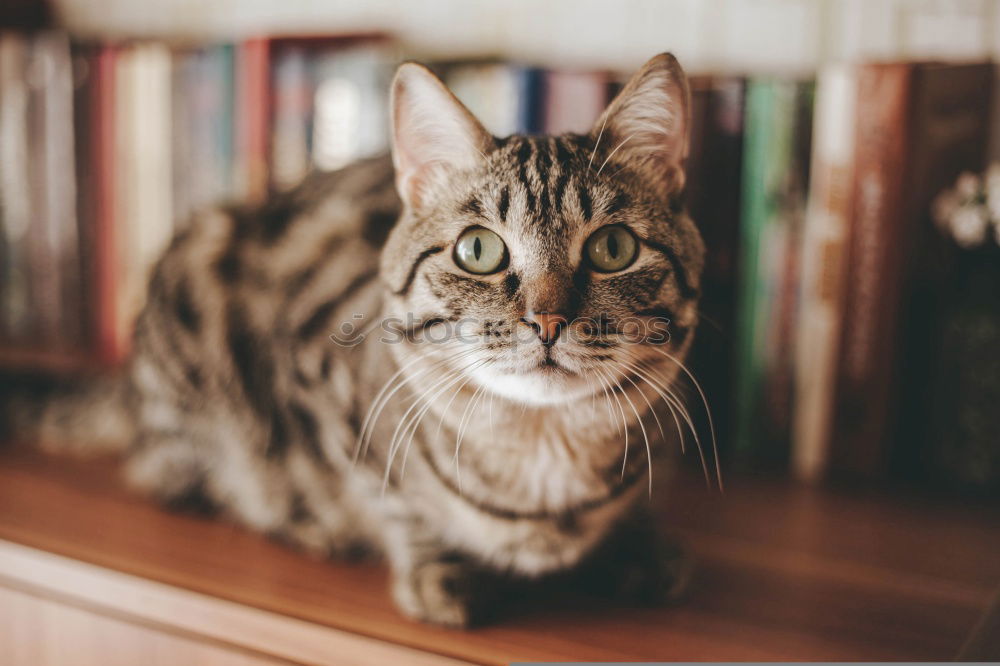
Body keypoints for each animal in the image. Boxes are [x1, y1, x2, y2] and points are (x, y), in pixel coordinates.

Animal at [27, 52, 708, 624]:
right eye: (479, 250)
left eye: (613, 248)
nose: (547, 321)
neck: (542, 460)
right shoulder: (318, 393)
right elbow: (390, 500)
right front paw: (430, 564)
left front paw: (639, 547)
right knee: (176, 471)